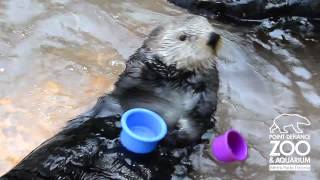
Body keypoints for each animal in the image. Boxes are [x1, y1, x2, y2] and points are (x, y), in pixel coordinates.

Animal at [2, 15, 221, 180]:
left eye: (210, 26)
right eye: (183, 37)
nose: (213, 37)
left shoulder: (206, 98)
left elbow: (196, 123)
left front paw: (175, 135)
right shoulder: (131, 84)